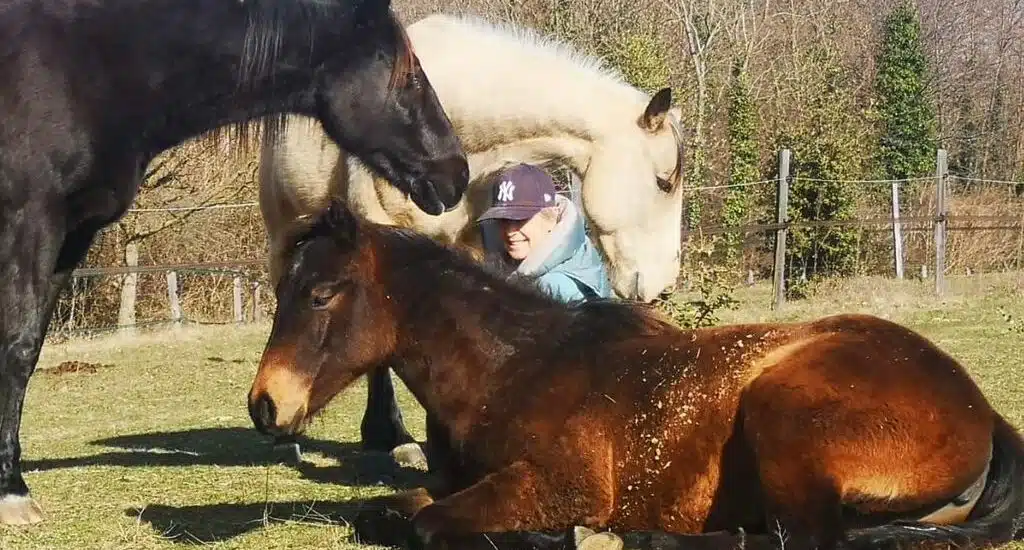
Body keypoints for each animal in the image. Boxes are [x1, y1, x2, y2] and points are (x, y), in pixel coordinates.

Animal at [0, 0, 469, 525]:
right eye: (410, 77)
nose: (455, 172)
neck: (89, 70)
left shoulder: (71, 238)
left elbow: (29, 348)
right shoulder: (32, 224)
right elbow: (18, 347)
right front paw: (11, 491)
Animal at [247, 198, 1024, 550]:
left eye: (322, 294)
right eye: (283, 290)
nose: (264, 407)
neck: (514, 370)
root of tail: (981, 412)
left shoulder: (561, 486)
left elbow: (432, 525)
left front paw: (560, 537)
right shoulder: (455, 480)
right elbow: (387, 511)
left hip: (784, 413)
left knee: (794, 540)